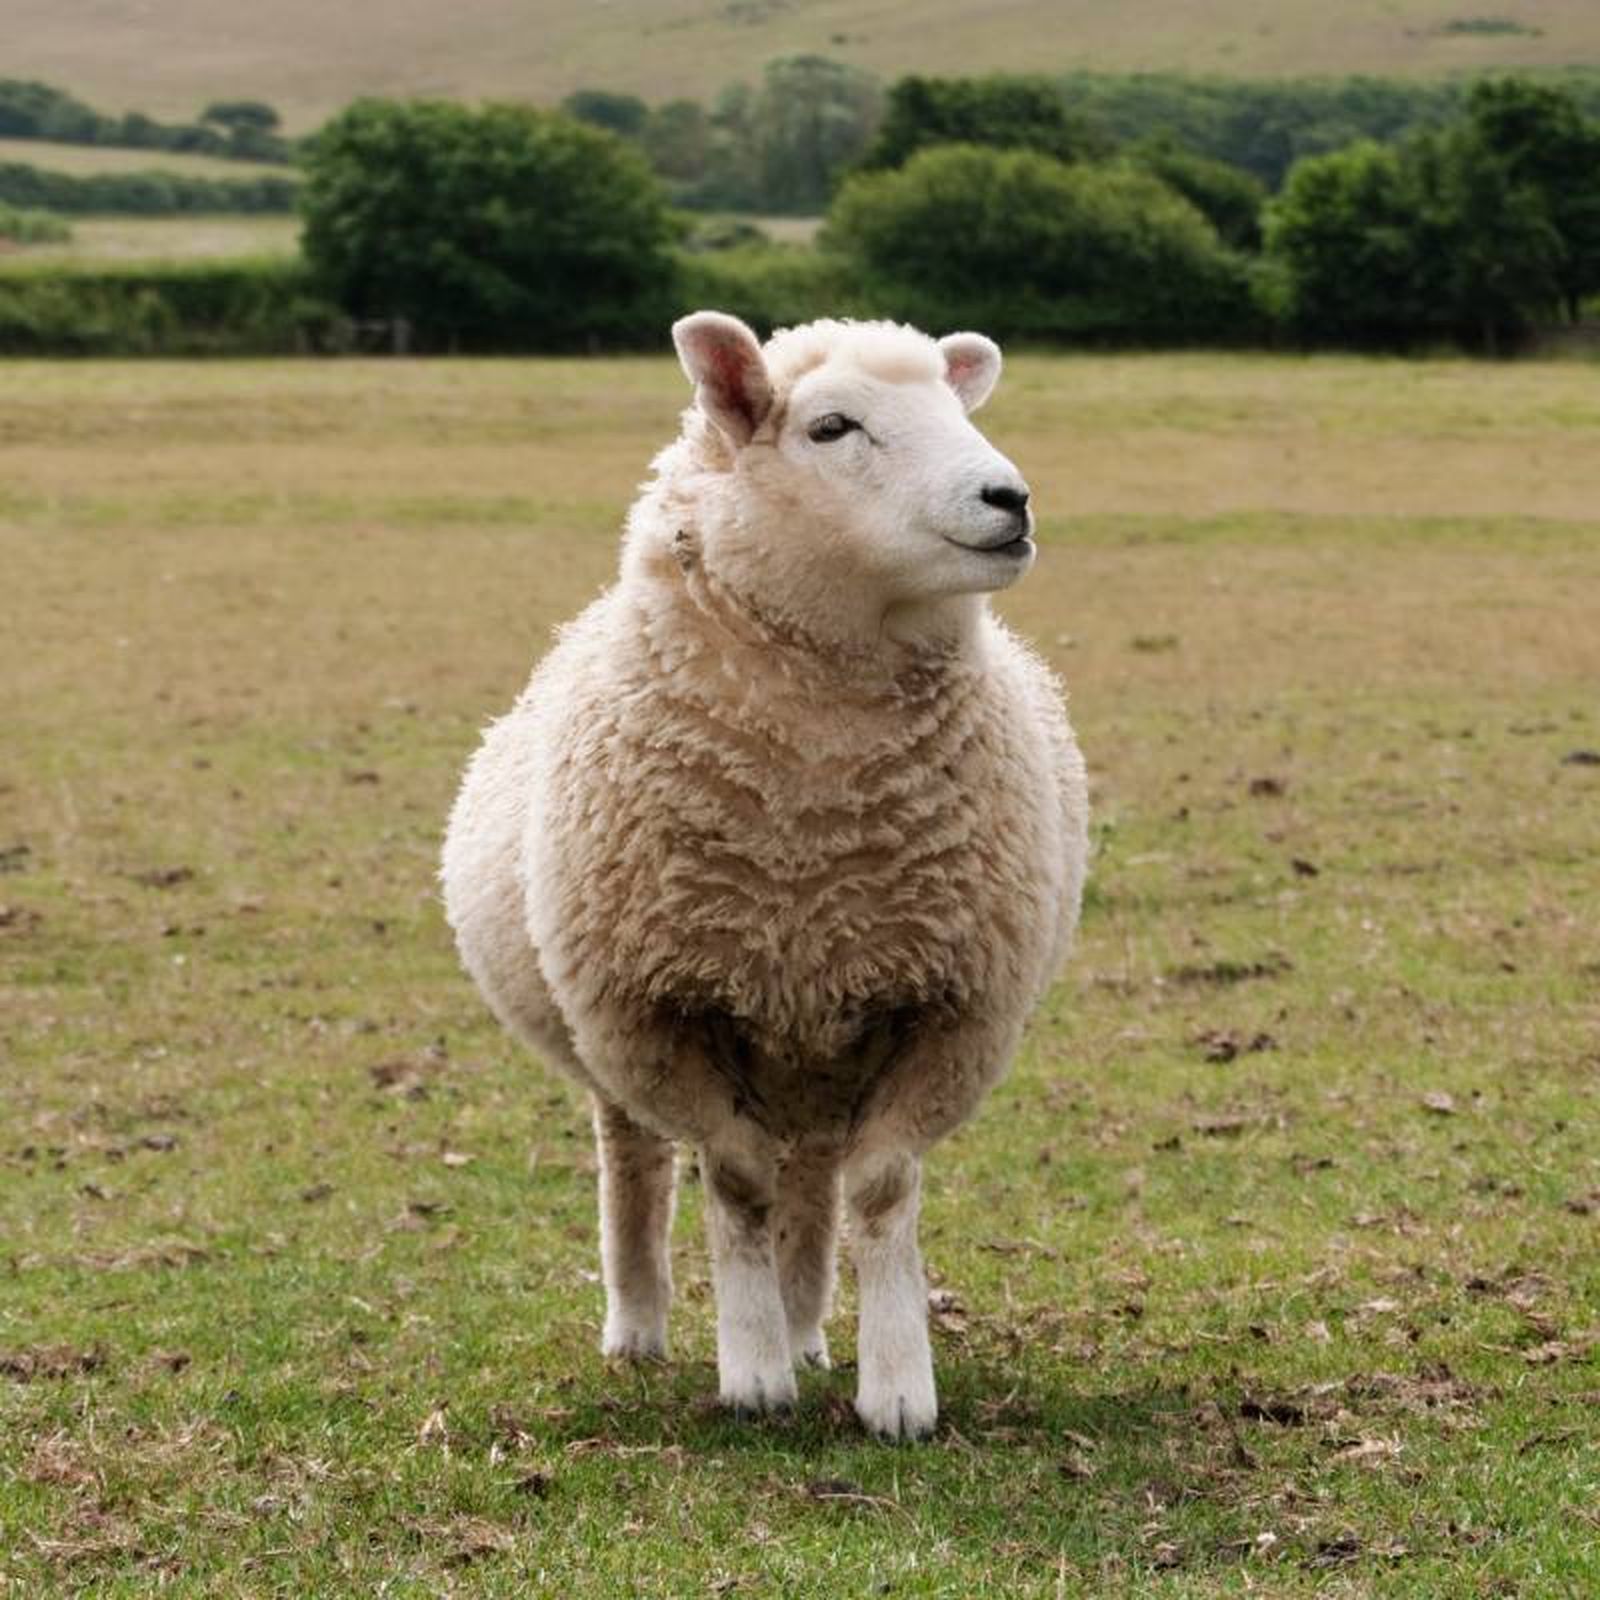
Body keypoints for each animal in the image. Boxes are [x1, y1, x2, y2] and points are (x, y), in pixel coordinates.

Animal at [441, 311, 1089, 1440]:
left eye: (956, 406)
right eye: (832, 427)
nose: (1008, 501)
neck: (810, 824)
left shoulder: (949, 1007)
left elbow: (880, 1190)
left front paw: (896, 1386)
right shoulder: (656, 1012)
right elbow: (735, 1182)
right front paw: (750, 1374)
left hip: (823, 1043)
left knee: (816, 1182)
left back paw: (809, 1328)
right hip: (618, 1043)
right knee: (637, 1164)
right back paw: (642, 1327)